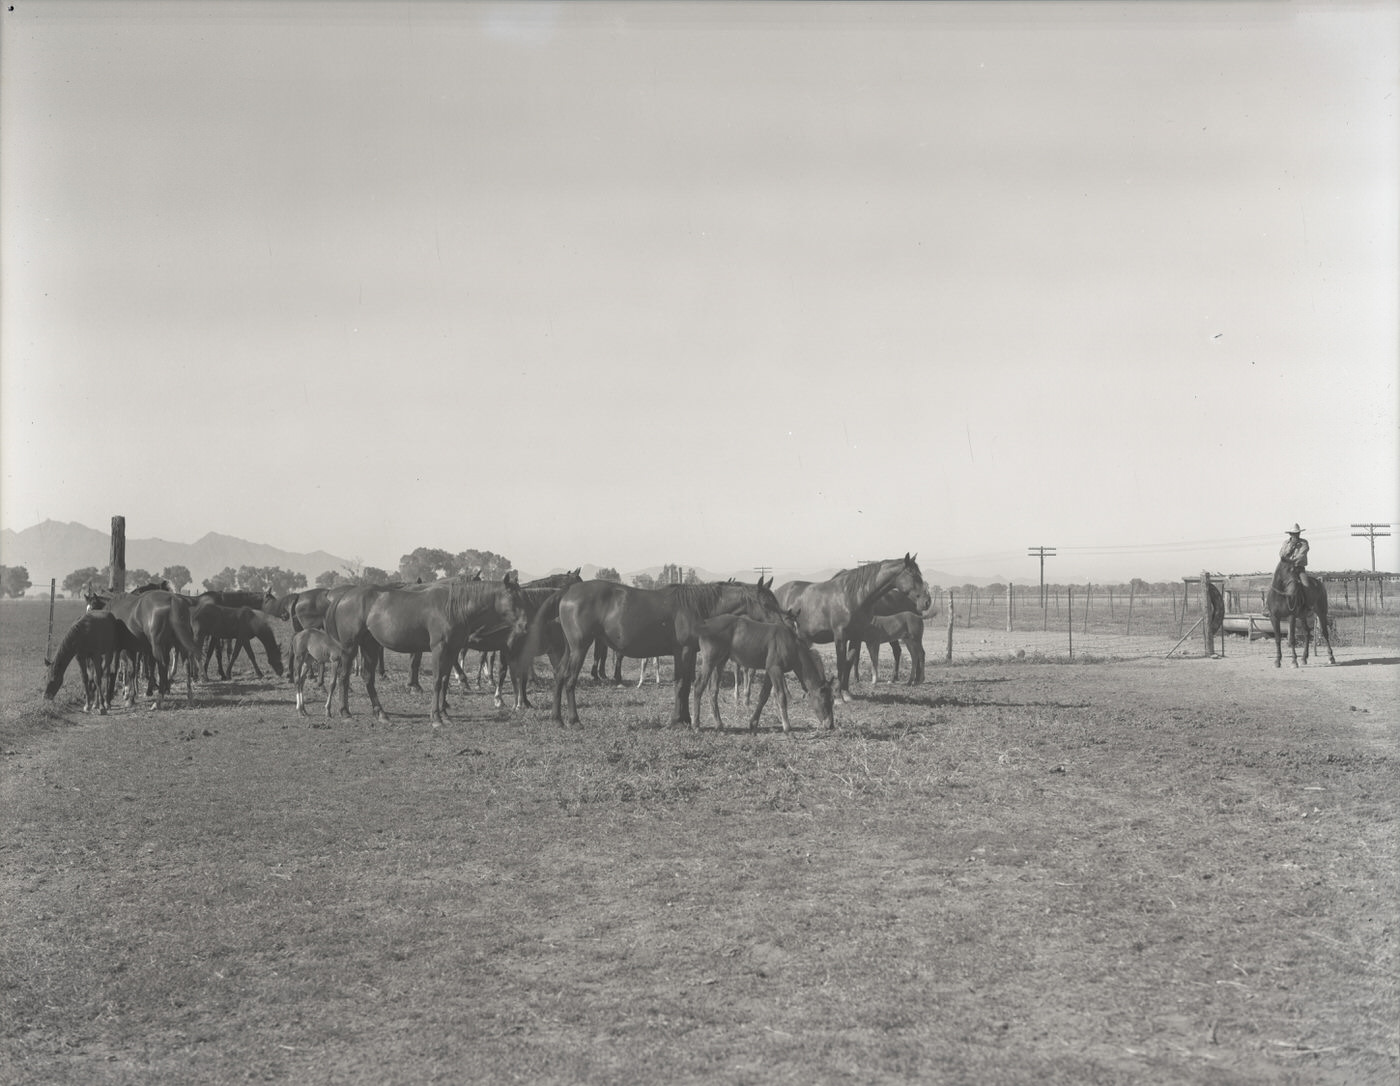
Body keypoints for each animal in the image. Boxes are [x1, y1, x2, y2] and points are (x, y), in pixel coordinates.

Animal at [324, 573, 532, 727]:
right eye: (513, 598)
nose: (525, 627)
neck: (452, 607)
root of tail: (344, 596)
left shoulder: (452, 650)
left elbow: (445, 680)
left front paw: (444, 714)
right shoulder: (439, 649)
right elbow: (437, 681)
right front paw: (436, 718)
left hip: (370, 645)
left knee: (368, 676)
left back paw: (380, 713)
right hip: (350, 647)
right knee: (344, 676)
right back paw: (345, 712)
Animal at [529, 576, 784, 727]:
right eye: (766, 603)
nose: (784, 624)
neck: (697, 606)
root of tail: (567, 592)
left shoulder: (690, 652)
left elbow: (686, 684)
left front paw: (685, 719)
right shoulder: (683, 651)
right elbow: (681, 684)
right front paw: (676, 720)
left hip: (570, 649)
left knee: (559, 676)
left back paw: (557, 719)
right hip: (580, 648)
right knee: (570, 680)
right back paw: (574, 720)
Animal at [697, 615, 834, 733]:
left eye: (832, 701)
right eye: (825, 702)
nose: (830, 725)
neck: (792, 644)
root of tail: (705, 623)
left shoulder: (770, 670)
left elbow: (763, 696)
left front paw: (753, 722)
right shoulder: (775, 669)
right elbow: (781, 695)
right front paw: (787, 726)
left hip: (720, 661)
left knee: (713, 690)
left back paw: (719, 725)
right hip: (709, 661)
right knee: (699, 686)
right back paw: (696, 725)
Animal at [778, 551, 929, 705]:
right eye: (912, 574)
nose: (926, 602)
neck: (852, 596)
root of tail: (777, 591)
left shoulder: (856, 636)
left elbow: (849, 662)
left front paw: (846, 693)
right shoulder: (840, 636)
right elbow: (840, 663)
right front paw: (838, 697)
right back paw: (789, 695)